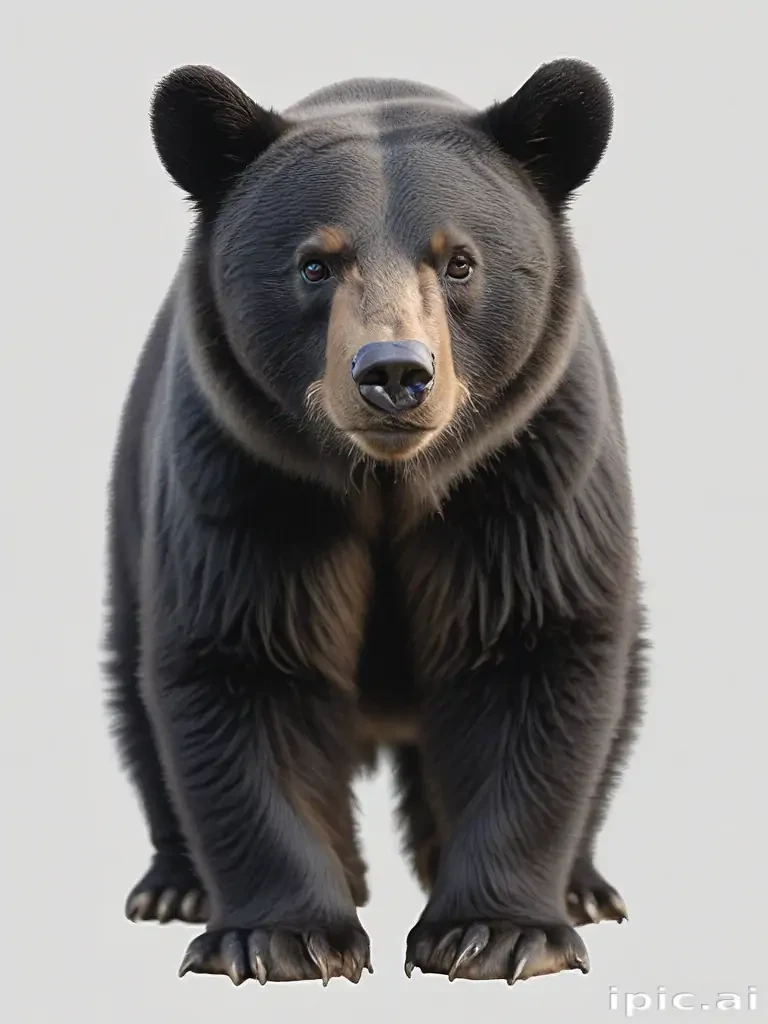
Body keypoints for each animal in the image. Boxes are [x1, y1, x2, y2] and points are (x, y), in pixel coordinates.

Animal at [103, 58, 648, 987]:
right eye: (315, 264)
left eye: (459, 262)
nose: (394, 373)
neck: (389, 482)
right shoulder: (248, 476)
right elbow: (245, 658)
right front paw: (283, 937)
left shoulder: (530, 472)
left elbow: (534, 646)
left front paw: (495, 932)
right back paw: (176, 884)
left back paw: (583, 886)